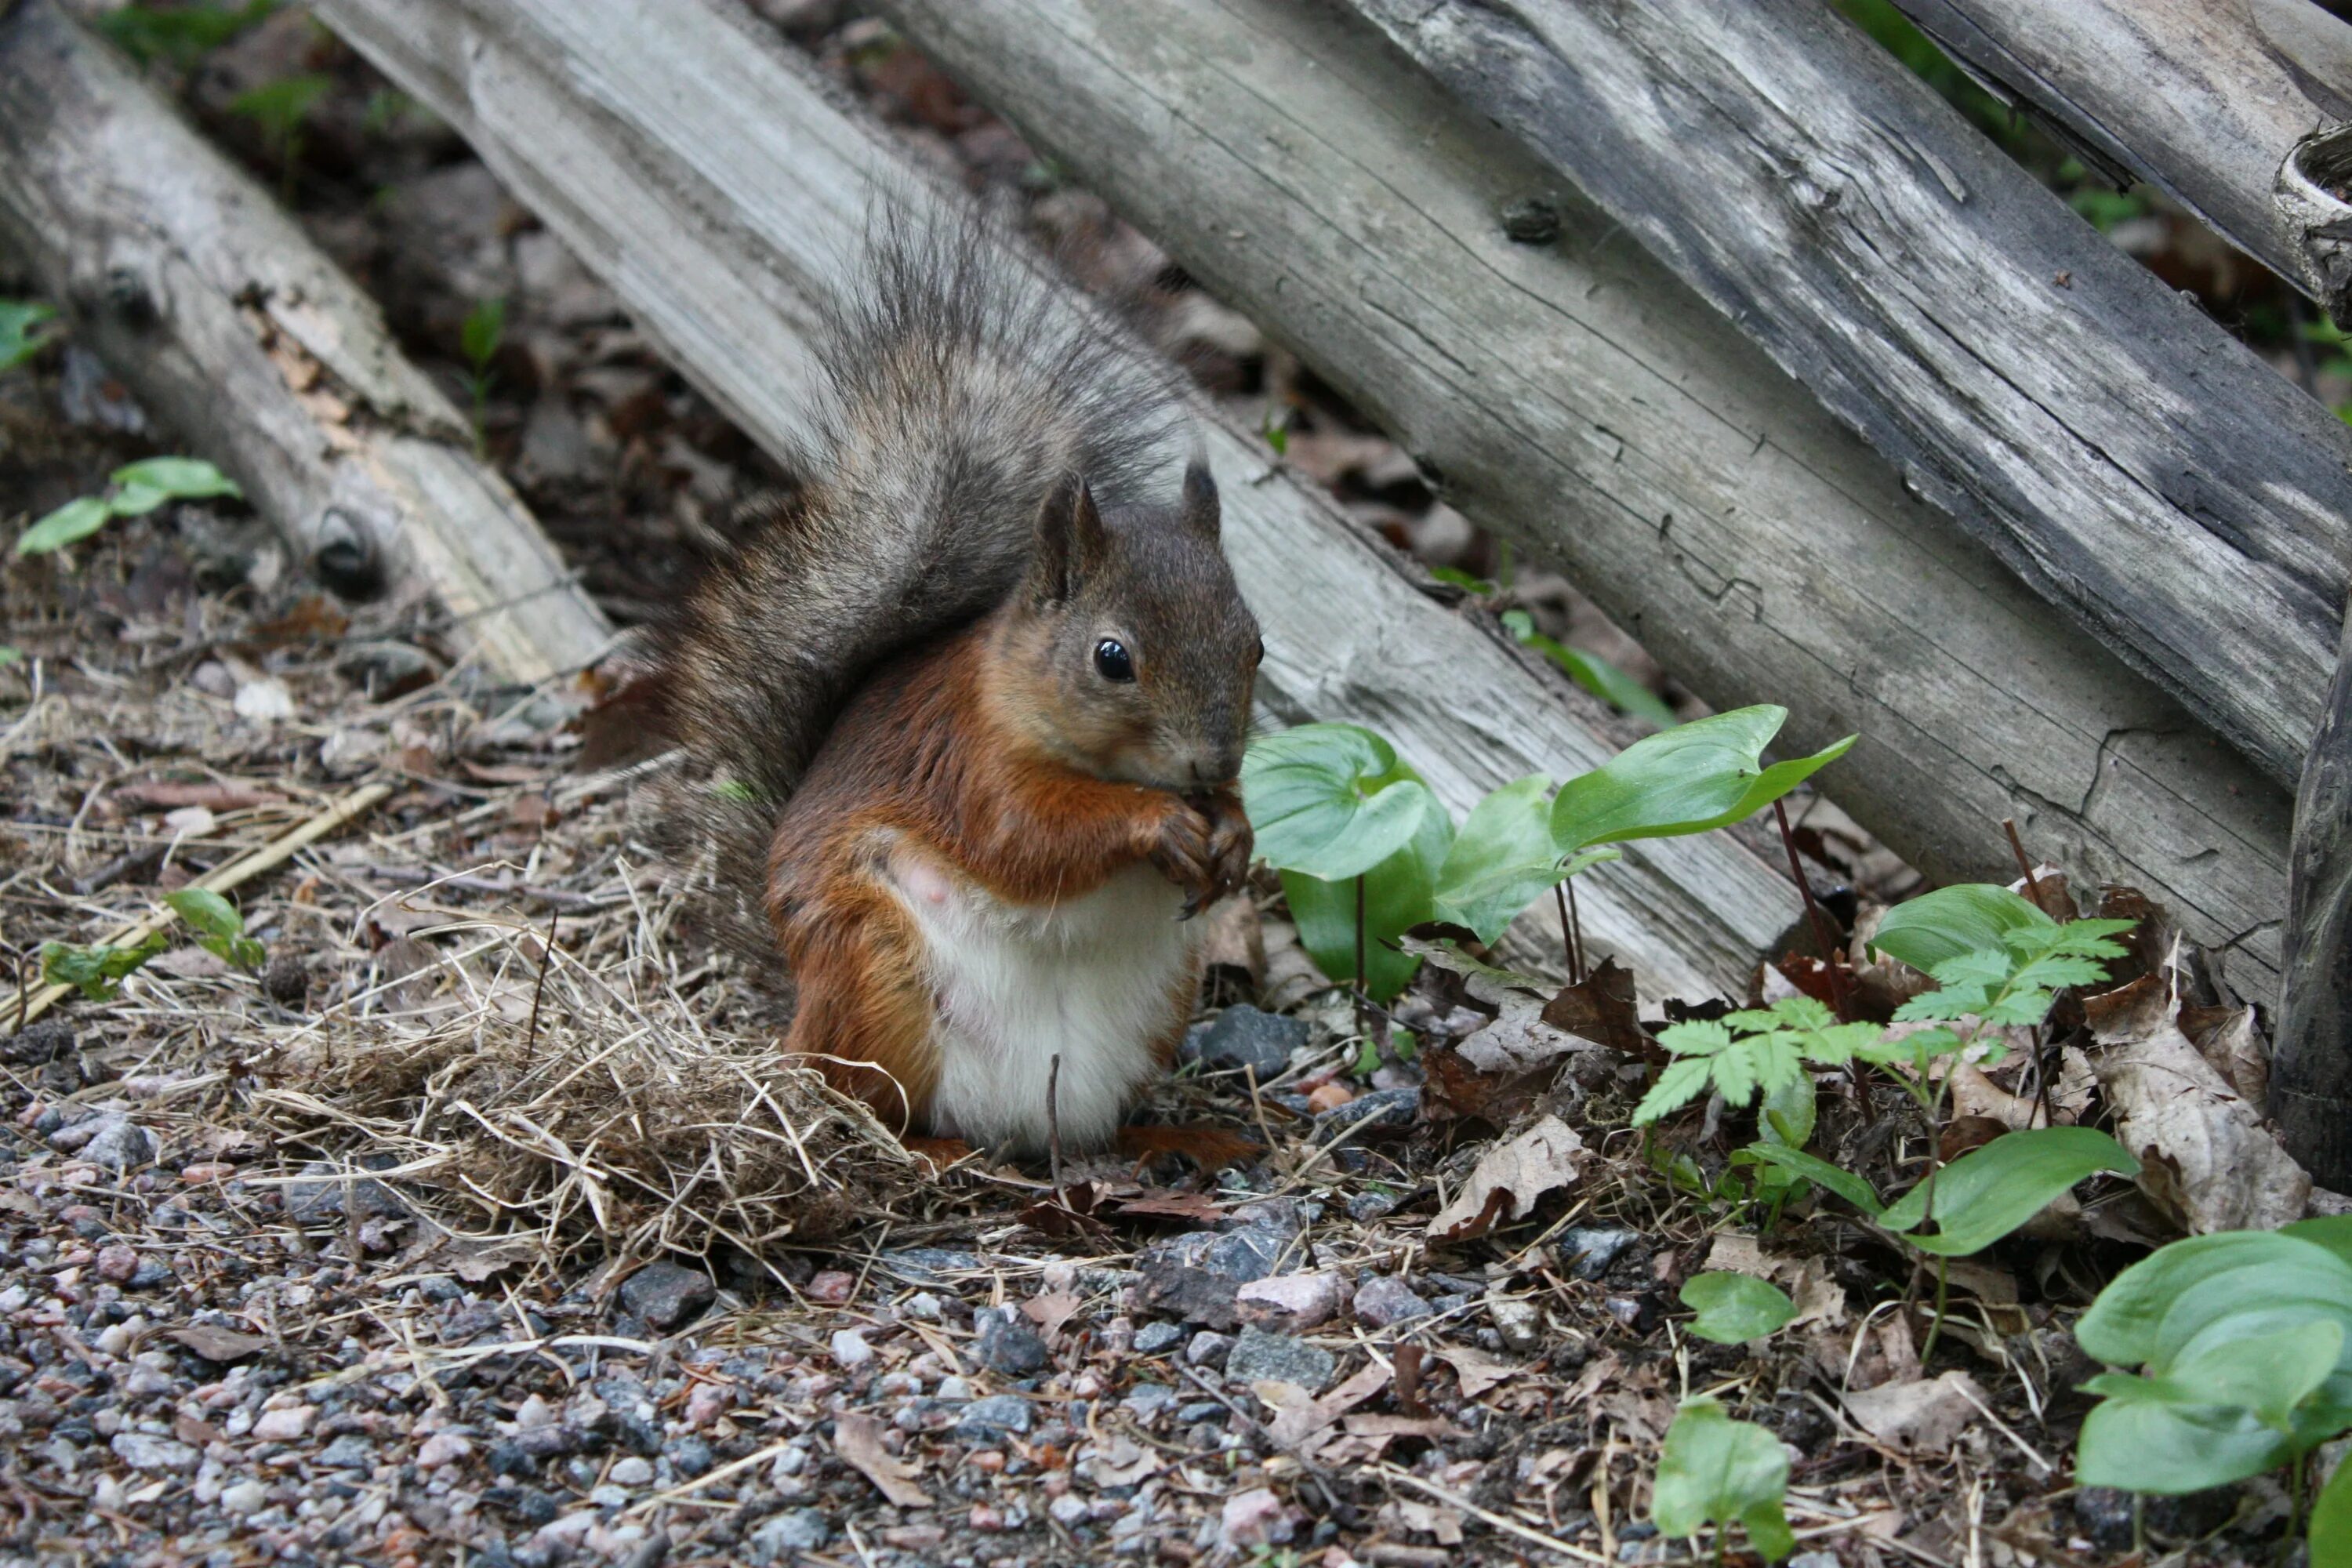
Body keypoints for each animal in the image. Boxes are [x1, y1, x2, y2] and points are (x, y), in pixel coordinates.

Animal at [644, 217, 1270, 1152]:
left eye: (1256, 645)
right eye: (1111, 657)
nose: (1214, 759)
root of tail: (1006, 1122)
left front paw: (1234, 837)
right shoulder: (966, 758)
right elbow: (1028, 834)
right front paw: (1156, 824)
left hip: (1157, 1012)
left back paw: (1176, 1139)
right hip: (873, 967)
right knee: (858, 1094)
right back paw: (919, 1151)